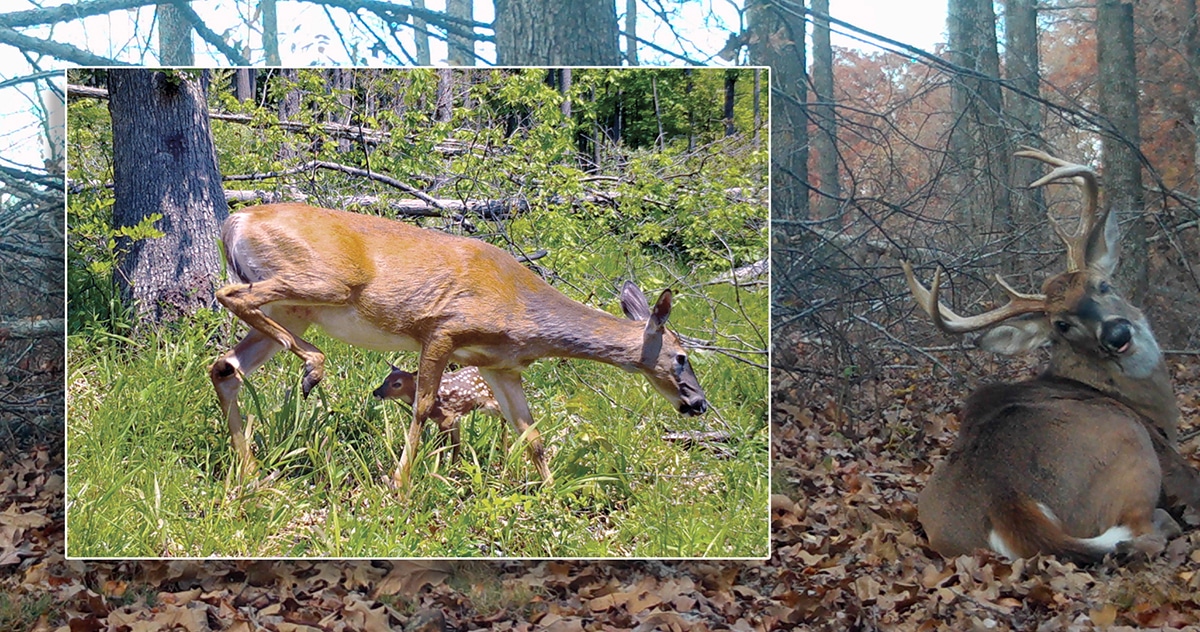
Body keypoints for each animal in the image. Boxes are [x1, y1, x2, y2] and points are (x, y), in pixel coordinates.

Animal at [369, 364, 501, 462]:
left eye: (397, 384)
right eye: (385, 379)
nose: (376, 392)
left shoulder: (448, 417)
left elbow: (440, 446)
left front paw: (438, 469)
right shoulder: (454, 417)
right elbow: (456, 444)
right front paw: (449, 470)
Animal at [902, 151, 1195, 566]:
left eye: (1103, 285)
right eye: (1062, 325)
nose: (1117, 334)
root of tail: (1007, 499)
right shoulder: (1168, 455)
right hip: (1131, 446)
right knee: (1139, 536)